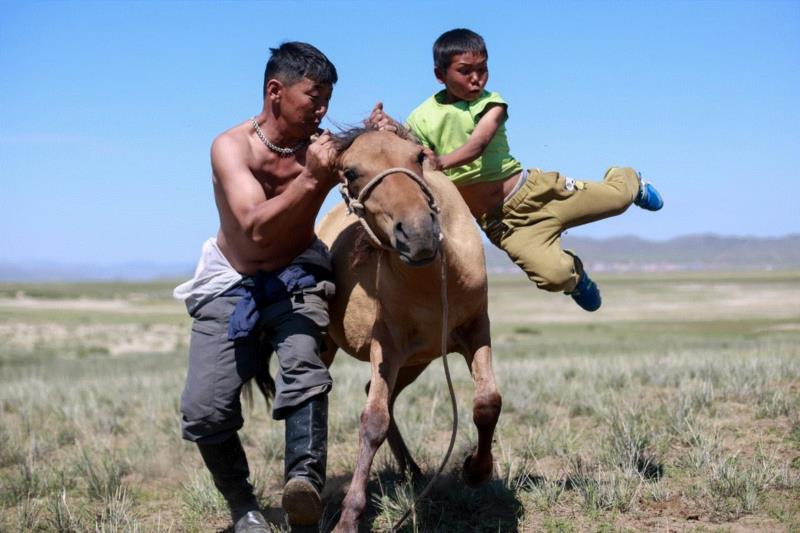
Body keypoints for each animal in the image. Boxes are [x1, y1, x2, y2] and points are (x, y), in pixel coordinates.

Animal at [317, 129, 503, 532]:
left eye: (418, 156)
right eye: (350, 172)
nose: (418, 234)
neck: (435, 280)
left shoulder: (476, 329)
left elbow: (487, 403)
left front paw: (475, 470)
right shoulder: (385, 345)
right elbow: (373, 421)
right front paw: (349, 517)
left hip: (417, 361)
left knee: (380, 394)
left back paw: (412, 471)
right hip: (333, 349)